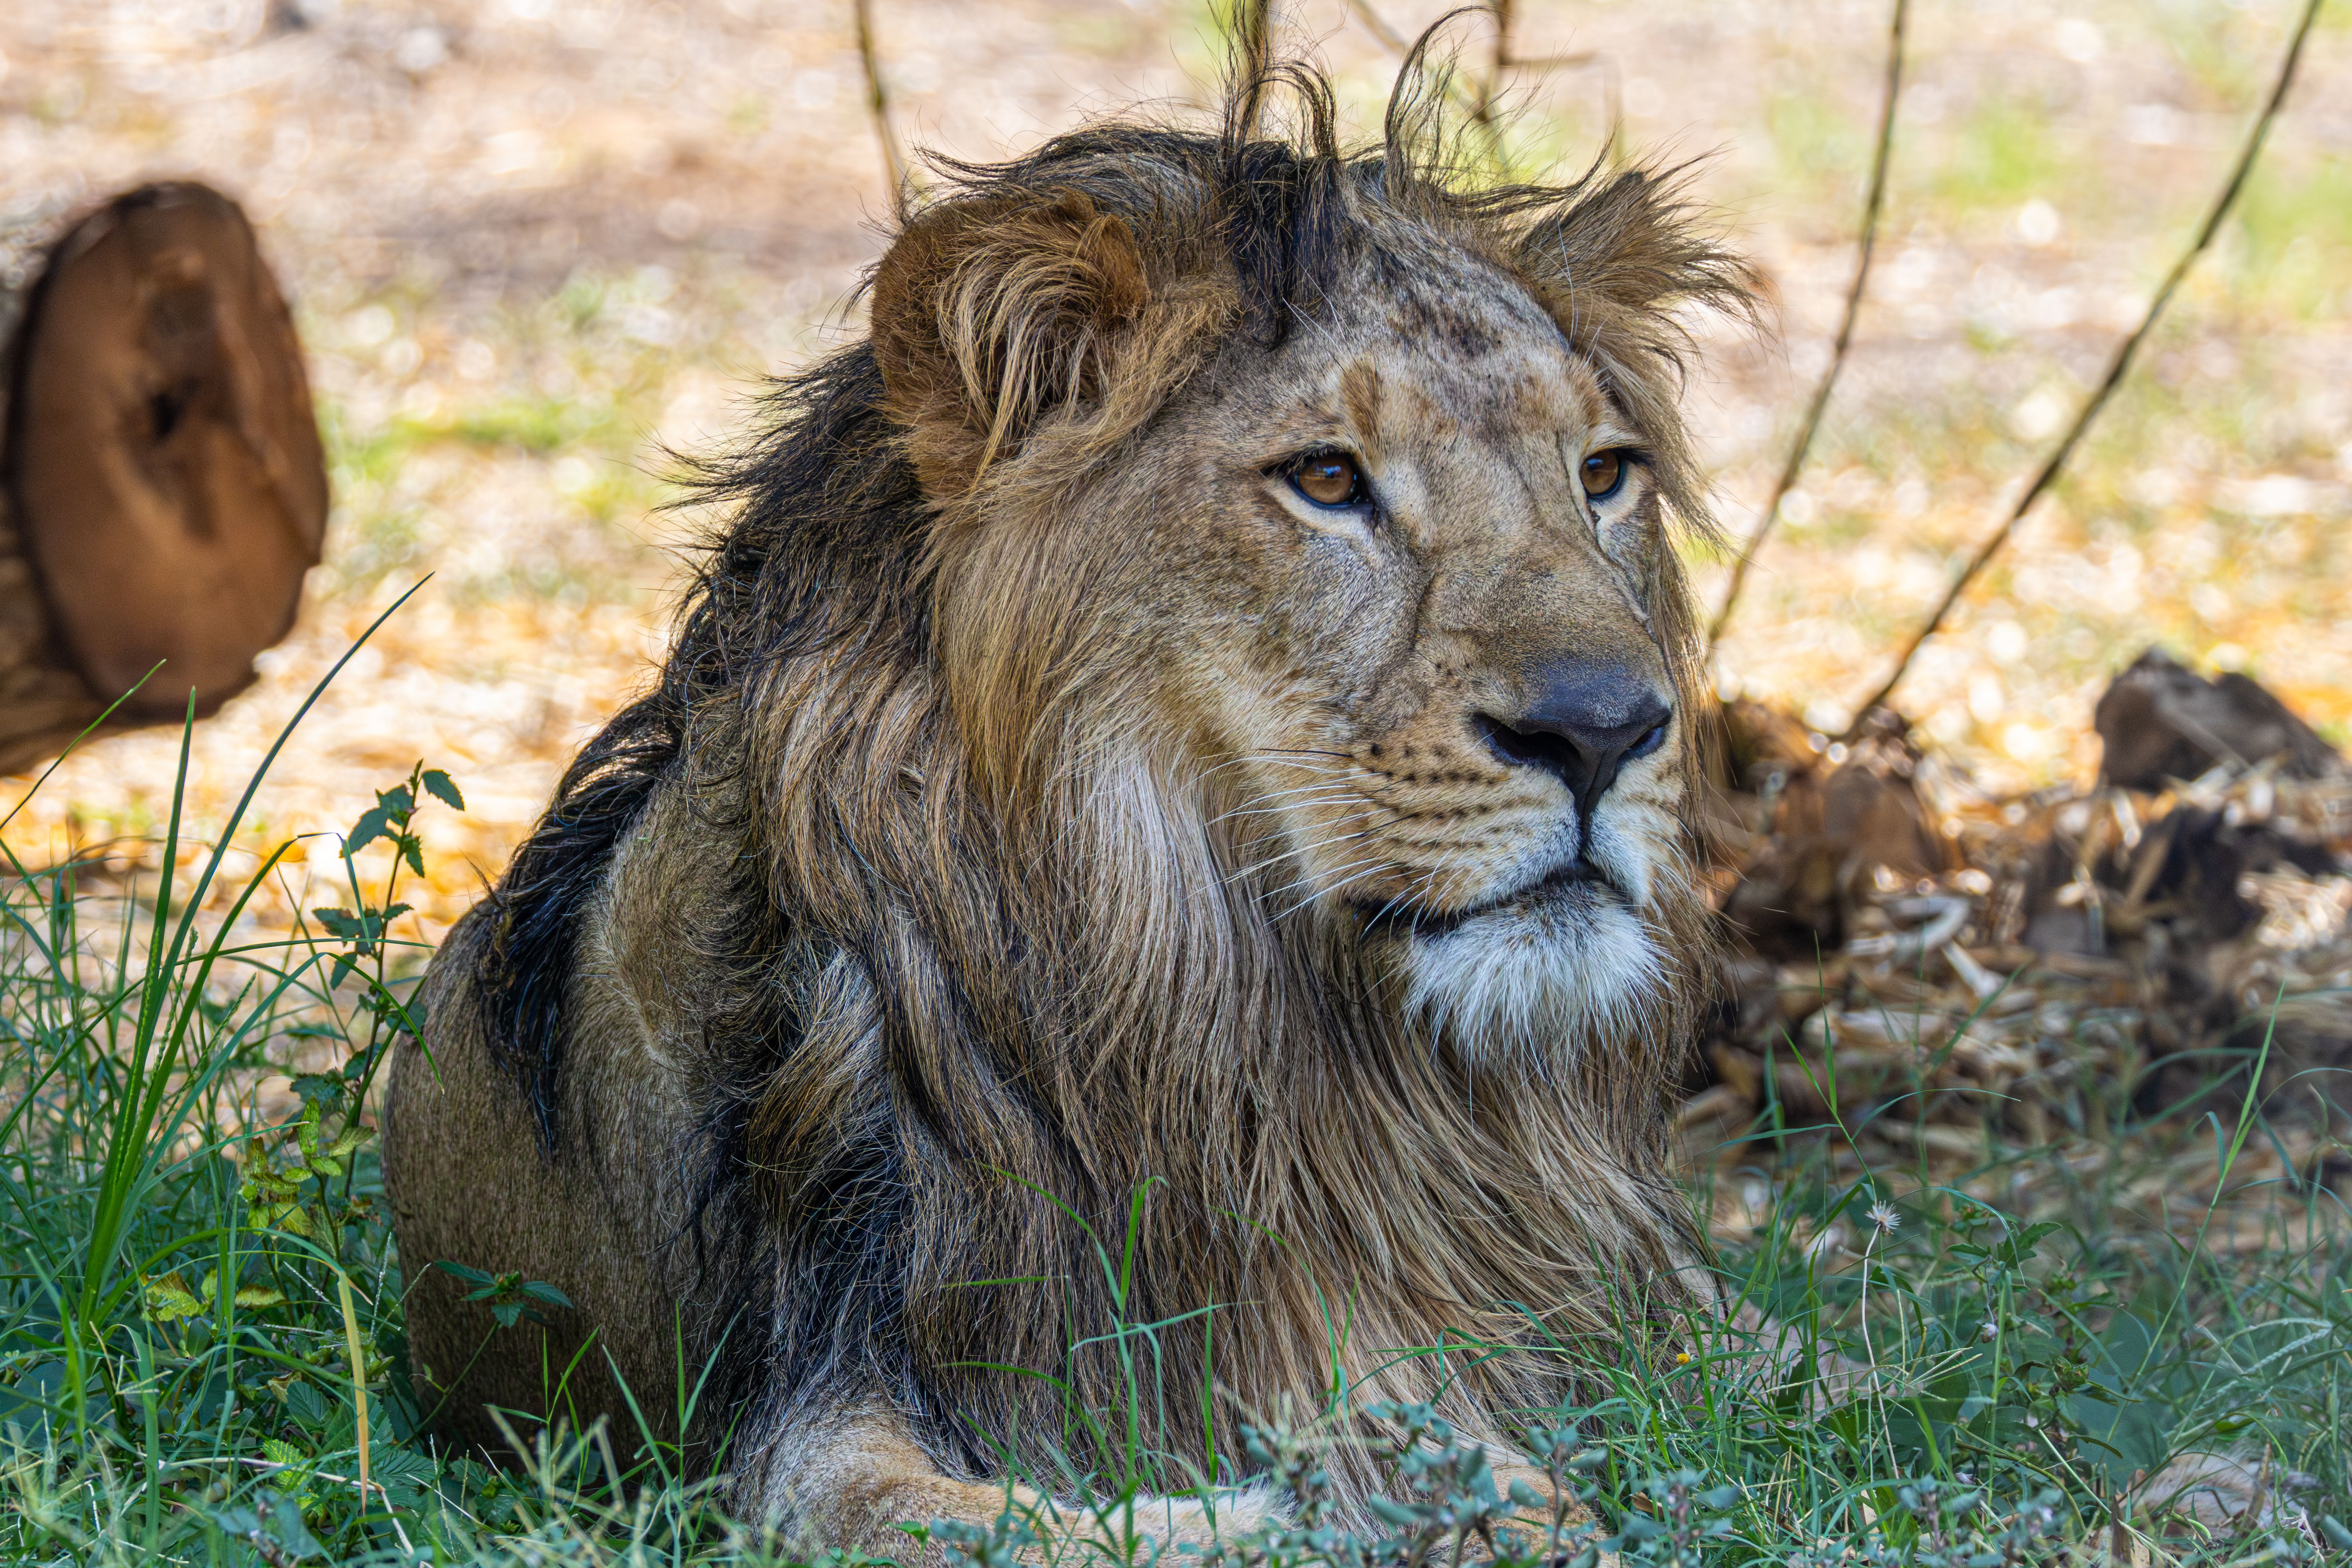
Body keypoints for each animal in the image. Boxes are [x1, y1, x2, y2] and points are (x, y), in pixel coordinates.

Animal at [383, 30, 1756, 1560]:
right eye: (1326, 478)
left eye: (1603, 476)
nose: (1606, 729)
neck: (1244, 1013)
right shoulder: (810, 1413)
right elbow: (1090, 1521)